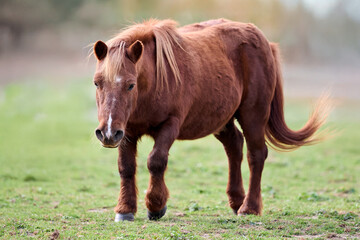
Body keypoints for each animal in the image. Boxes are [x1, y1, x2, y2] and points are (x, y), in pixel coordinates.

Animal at [91, 18, 330, 221]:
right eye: (97, 83)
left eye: (131, 84)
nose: (107, 133)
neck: (155, 80)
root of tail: (264, 42)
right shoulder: (127, 131)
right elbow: (126, 167)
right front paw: (125, 209)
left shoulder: (170, 125)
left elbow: (156, 161)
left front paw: (156, 206)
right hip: (221, 121)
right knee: (235, 146)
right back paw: (237, 201)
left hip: (253, 115)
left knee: (256, 155)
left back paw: (249, 208)